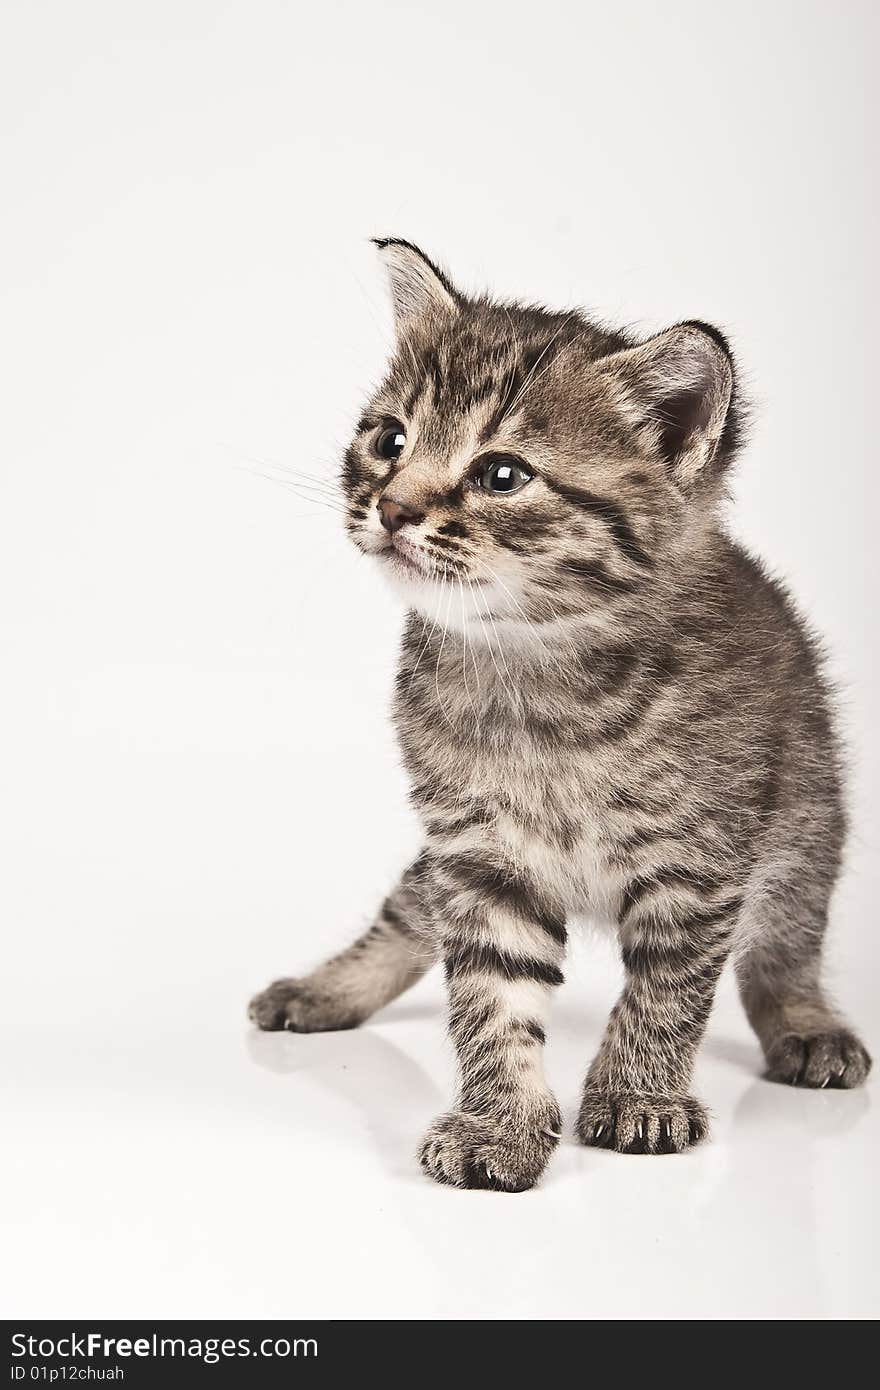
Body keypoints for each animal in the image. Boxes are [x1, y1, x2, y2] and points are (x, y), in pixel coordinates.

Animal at [250, 241, 867, 1195]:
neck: (531, 669)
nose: (392, 507)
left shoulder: (699, 861)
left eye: (503, 474)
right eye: (390, 441)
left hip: (805, 821)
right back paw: (325, 988)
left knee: (783, 943)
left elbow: (667, 988)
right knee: (407, 908)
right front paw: (498, 1122)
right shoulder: (477, 852)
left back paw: (806, 1022)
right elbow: (490, 995)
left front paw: (639, 1095)